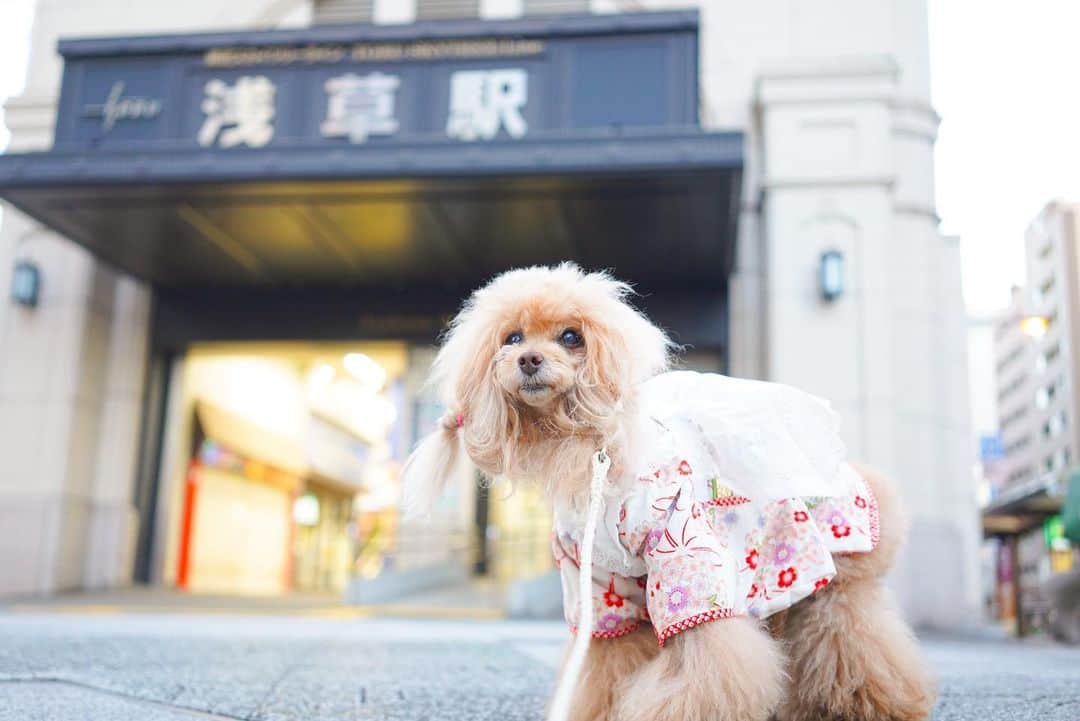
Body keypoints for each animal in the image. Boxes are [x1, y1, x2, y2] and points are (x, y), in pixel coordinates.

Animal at [406, 264, 937, 721]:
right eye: (512, 337)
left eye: (571, 337)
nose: (528, 360)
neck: (598, 462)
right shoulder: (599, 586)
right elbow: (606, 665)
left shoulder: (684, 555)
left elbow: (708, 659)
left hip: (834, 576)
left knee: (853, 637)